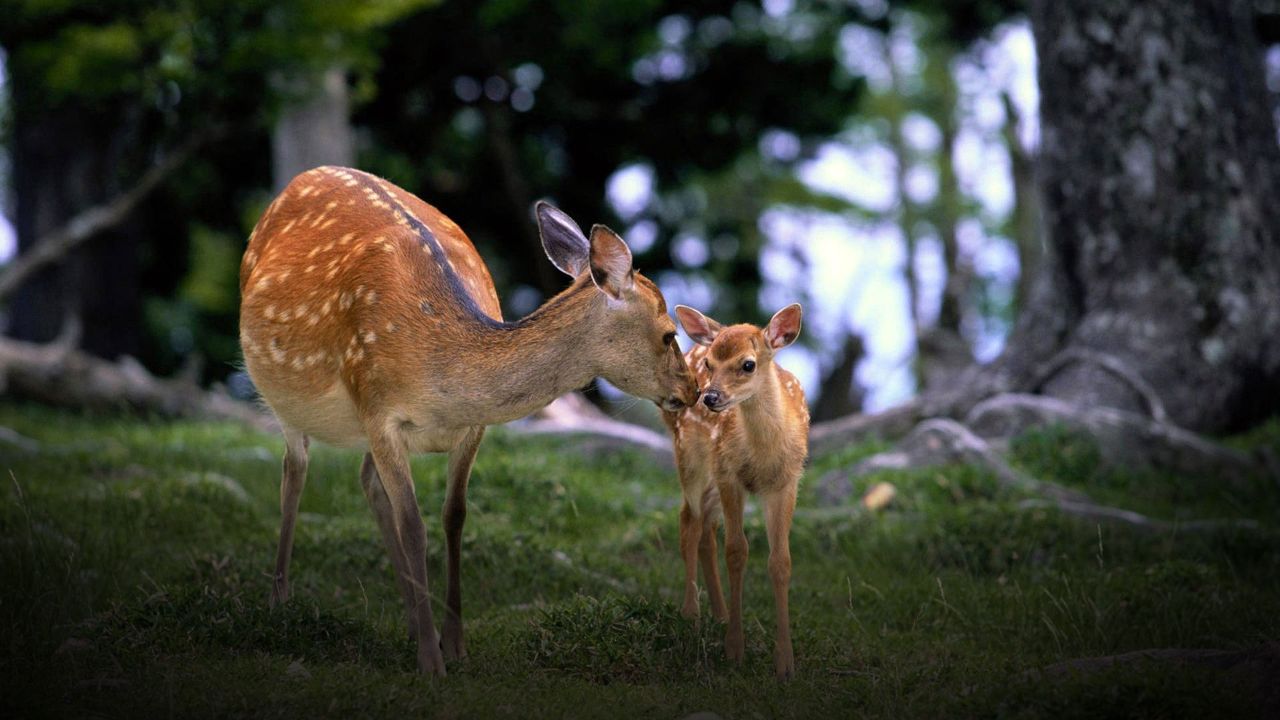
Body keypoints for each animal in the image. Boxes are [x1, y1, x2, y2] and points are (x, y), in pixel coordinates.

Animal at [240, 166, 701, 671]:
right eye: (668, 334)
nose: (693, 391)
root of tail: (302, 178)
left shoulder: (471, 428)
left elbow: (454, 516)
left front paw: (454, 644)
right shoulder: (378, 409)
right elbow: (414, 525)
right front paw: (430, 661)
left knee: (366, 480)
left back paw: (407, 617)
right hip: (283, 394)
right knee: (294, 471)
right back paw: (279, 599)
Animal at [665, 302, 803, 676]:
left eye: (748, 364)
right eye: (711, 365)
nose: (710, 397)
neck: (762, 453)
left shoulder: (786, 481)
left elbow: (781, 561)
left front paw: (785, 662)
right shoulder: (730, 475)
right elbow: (737, 552)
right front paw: (734, 650)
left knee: (705, 529)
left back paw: (720, 614)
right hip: (691, 456)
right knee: (689, 522)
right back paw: (691, 614)